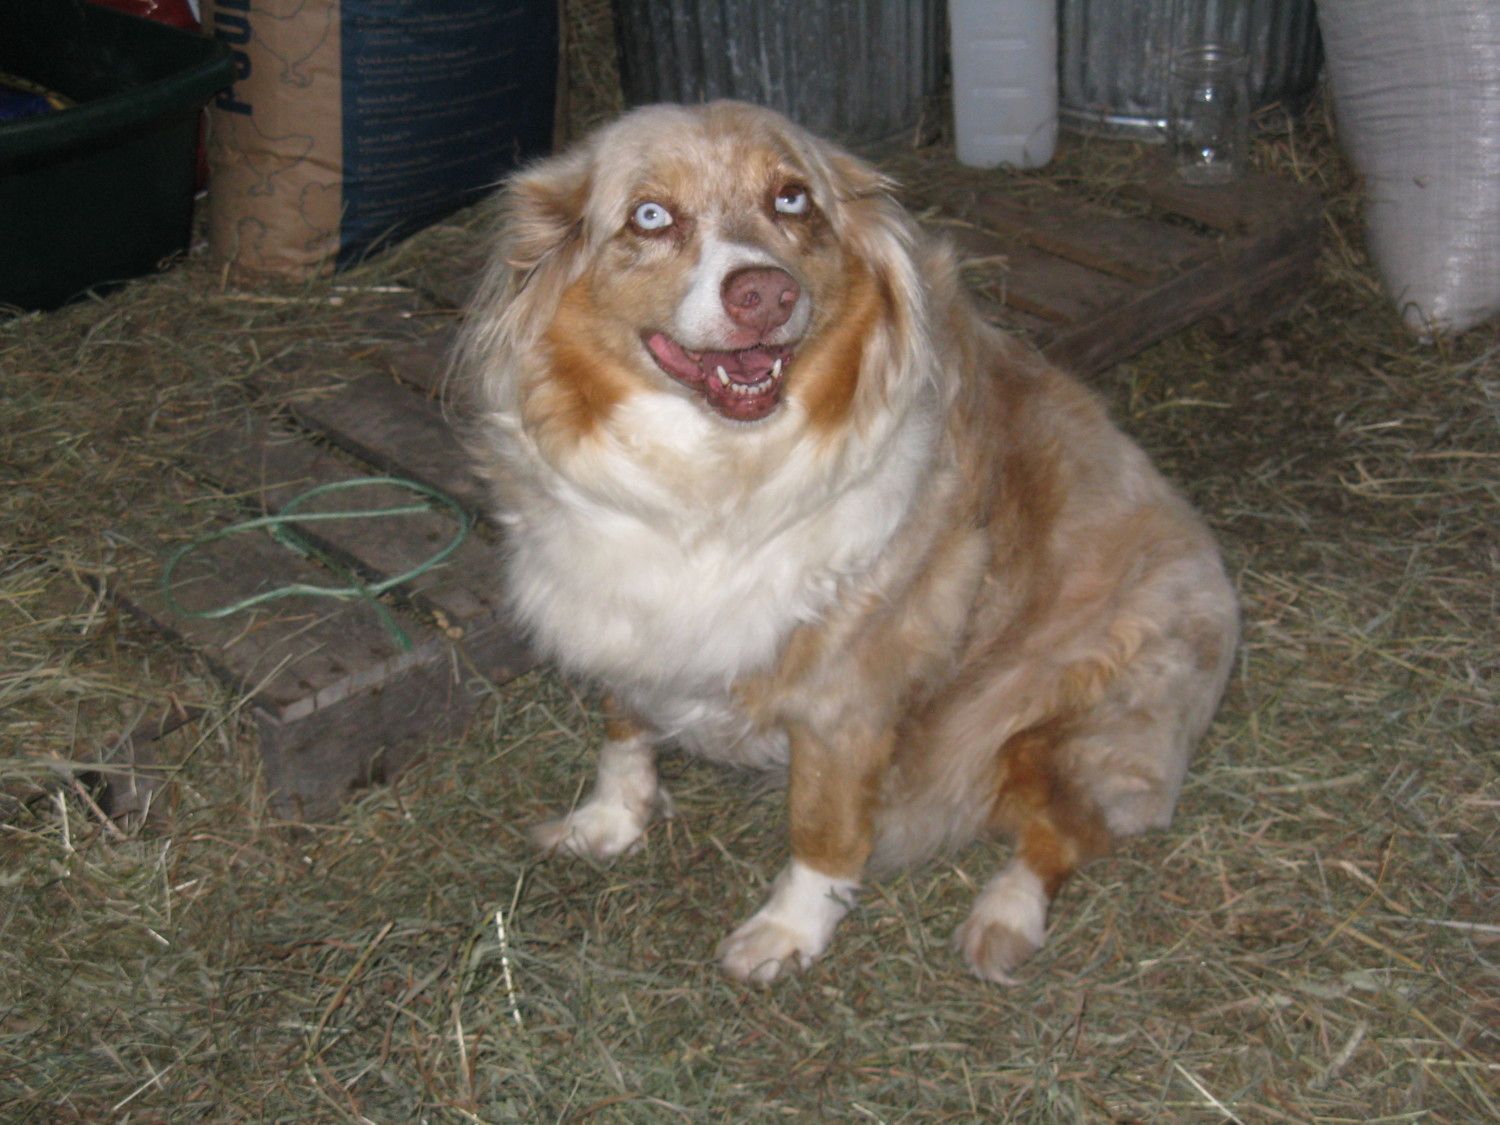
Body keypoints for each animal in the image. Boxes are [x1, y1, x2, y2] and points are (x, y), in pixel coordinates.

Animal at [456, 105, 1242, 984]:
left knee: (1063, 831)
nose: (764, 292)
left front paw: (789, 931)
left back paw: (1002, 918)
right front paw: (609, 821)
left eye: (793, 199)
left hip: (1067, 723)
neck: (712, 477)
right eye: (651, 216)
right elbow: (622, 728)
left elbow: (823, 826)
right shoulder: (621, 613)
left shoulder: (848, 694)